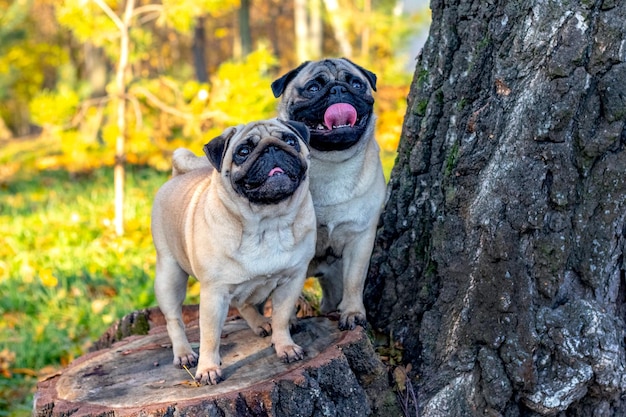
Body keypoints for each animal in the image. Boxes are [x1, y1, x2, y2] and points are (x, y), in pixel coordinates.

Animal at [152, 117, 316, 384]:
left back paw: (261, 323)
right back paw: (184, 353)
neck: (267, 222)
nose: (272, 148)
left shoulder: (292, 280)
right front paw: (208, 369)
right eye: (243, 151)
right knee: (174, 319)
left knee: (244, 303)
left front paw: (285, 346)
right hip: (169, 275)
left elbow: (281, 317)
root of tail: (176, 176)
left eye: (290, 140)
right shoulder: (214, 293)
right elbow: (210, 336)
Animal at [270, 59, 386, 332]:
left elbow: (355, 280)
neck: (330, 163)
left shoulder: (360, 240)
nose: (338, 89)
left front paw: (353, 313)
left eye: (356, 84)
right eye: (313, 88)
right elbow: (284, 295)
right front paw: (287, 322)